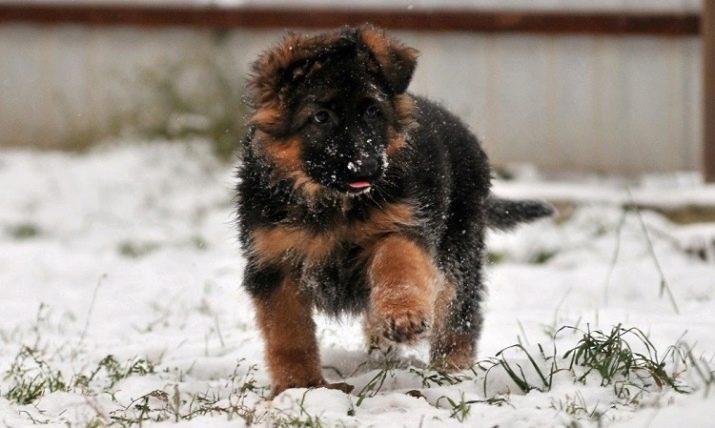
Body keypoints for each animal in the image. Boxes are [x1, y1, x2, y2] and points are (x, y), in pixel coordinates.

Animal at [236, 25, 553, 396]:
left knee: (460, 309)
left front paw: (403, 315)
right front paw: (300, 387)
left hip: (459, 247)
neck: (332, 203)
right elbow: (287, 331)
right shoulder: (272, 263)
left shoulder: (405, 226)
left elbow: (396, 260)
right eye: (321, 117)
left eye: (373, 111)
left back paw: (452, 372)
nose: (367, 168)